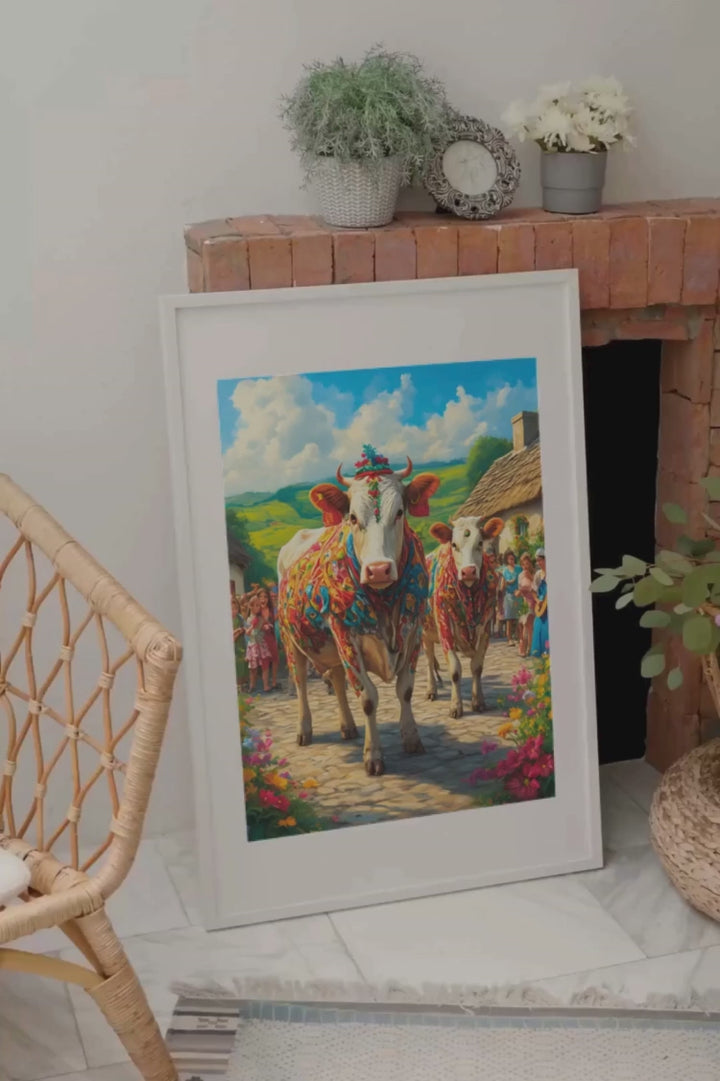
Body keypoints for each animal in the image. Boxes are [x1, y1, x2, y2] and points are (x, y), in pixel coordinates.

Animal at [276, 447, 436, 778]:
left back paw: (347, 726)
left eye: (399, 512)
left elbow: (405, 689)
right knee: (300, 684)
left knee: (337, 680)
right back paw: (304, 730)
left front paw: (411, 738)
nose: (378, 569)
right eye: (352, 517)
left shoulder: (412, 630)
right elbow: (368, 697)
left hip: (330, 646)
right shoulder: (346, 634)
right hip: (290, 639)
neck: (384, 599)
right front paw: (373, 756)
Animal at [423, 514, 501, 717]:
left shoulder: (486, 626)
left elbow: (477, 666)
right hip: (423, 633)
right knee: (428, 660)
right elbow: (455, 669)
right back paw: (431, 690)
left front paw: (478, 701)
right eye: (454, 545)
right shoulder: (444, 626)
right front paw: (456, 706)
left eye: (480, 542)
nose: (468, 571)